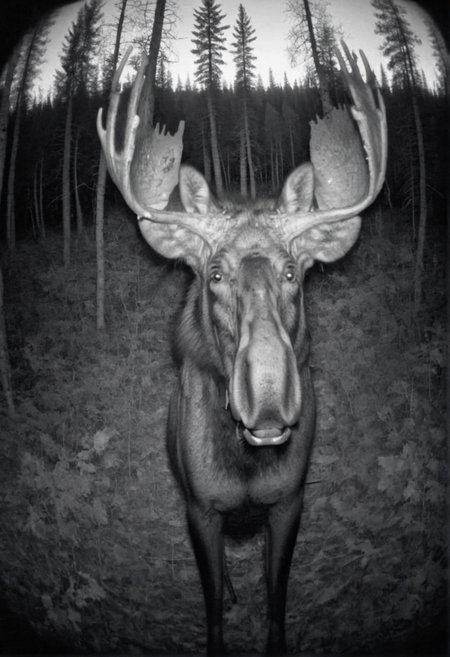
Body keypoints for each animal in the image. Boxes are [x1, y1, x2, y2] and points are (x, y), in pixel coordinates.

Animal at [97, 42, 387, 655]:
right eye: (214, 275)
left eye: (293, 272)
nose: (269, 403)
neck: (248, 467)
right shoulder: (201, 507)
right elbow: (211, 610)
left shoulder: (291, 500)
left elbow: (278, 600)